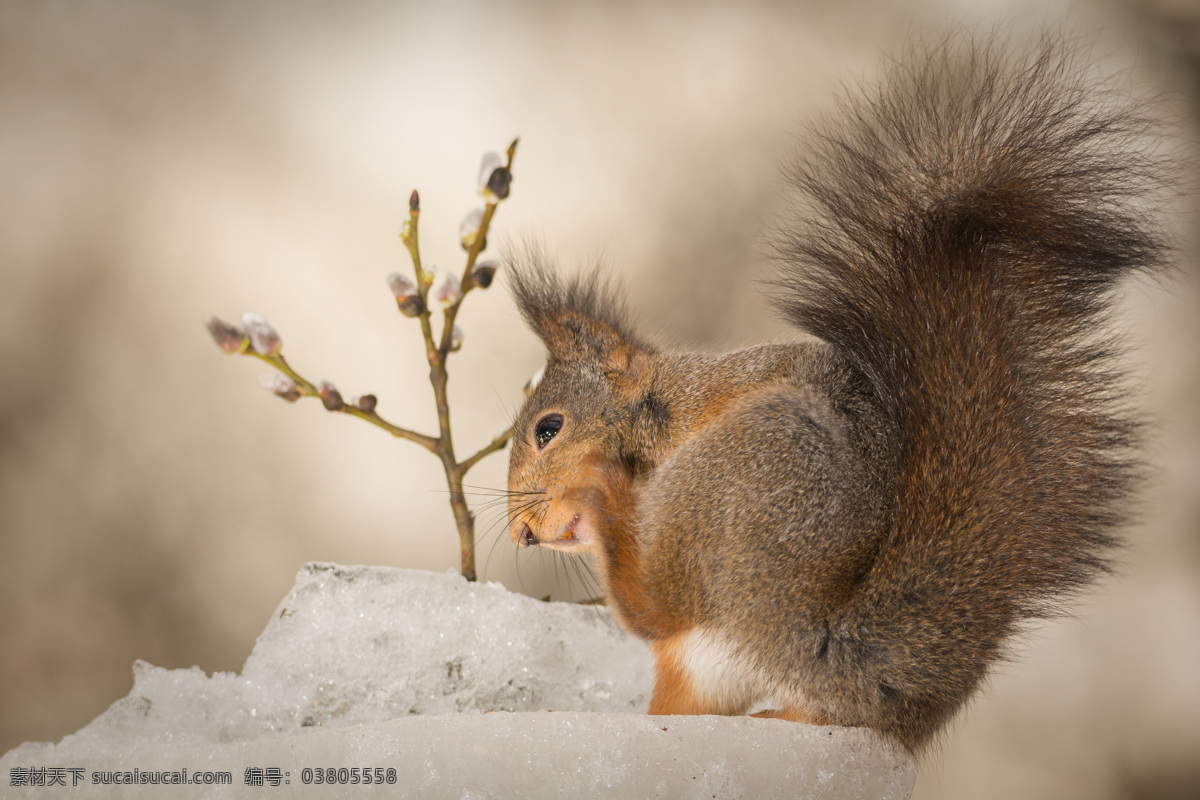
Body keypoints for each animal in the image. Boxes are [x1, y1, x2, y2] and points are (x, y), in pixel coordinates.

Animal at [501, 34, 1166, 753]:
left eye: (547, 429)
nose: (522, 533)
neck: (670, 402)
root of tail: (846, 669)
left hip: (737, 474)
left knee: (652, 609)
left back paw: (604, 493)